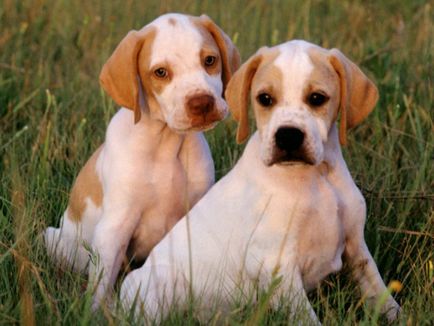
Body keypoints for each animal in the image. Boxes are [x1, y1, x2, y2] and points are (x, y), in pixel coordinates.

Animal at [43, 12, 239, 310]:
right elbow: (101, 285)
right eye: (160, 72)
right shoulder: (114, 227)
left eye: (209, 60)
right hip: (54, 239)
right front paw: (98, 312)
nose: (201, 103)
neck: (166, 144)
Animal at [120, 40, 402, 324]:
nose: (288, 136)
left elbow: (381, 292)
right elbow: (307, 318)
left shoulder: (356, 247)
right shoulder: (276, 264)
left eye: (317, 98)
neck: (317, 179)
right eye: (265, 99)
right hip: (161, 282)